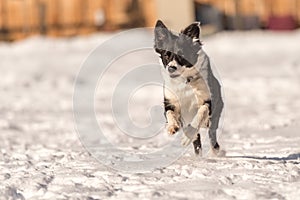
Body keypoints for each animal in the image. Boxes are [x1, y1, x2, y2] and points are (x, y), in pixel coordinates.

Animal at [155, 19, 223, 155]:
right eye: (166, 55)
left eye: (182, 55)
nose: (171, 68)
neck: (184, 81)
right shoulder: (170, 101)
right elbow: (170, 113)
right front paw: (173, 127)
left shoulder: (208, 100)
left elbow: (201, 113)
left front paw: (187, 137)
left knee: (211, 133)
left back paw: (215, 151)